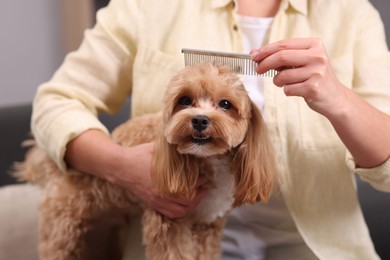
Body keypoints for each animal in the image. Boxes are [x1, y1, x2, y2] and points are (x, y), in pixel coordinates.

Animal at [14, 63, 278, 260]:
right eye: (184, 100)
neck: (207, 161)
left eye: (225, 104)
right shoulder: (167, 222)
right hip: (62, 228)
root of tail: (53, 165)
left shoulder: (207, 226)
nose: (200, 120)